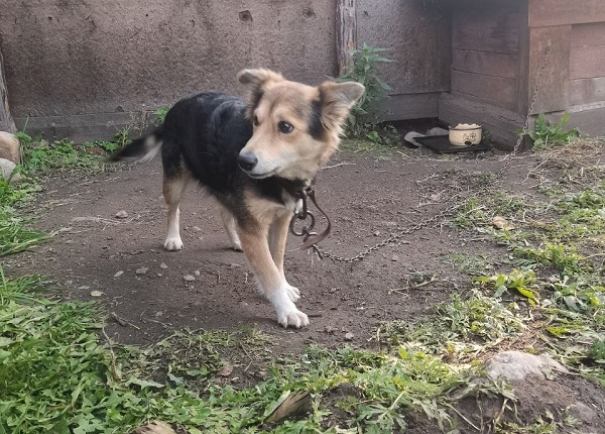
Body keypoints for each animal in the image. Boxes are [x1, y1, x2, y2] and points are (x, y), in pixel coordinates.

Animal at [112, 69, 364, 328]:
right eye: (256, 121)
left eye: (285, 126)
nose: (243, 161)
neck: (281, 178)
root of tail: (179, 103)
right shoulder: (253, 225)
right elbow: (270, 271)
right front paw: (286, 309)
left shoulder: (280, 219)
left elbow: (276, 260)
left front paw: (283, 288)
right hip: (175, 180)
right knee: (174, 209)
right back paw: (173, 238)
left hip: (225, 188)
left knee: (225, 213)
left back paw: (235, 241)